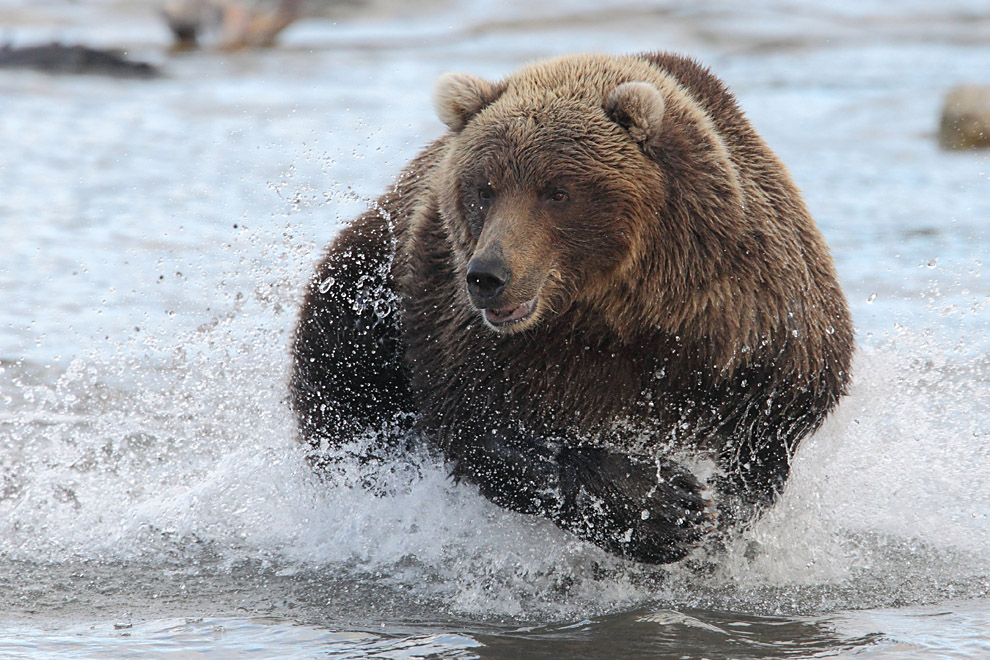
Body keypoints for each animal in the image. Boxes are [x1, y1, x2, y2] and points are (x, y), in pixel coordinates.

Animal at [290, 52, 856, 564]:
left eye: (557, 191)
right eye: (484, 188)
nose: (488, 276)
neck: (616, 306)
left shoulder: (750, 315)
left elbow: (772, 424)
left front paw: (715, 515)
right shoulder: (472, 332)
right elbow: (479, 428)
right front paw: (663, 506)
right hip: (360, 301)